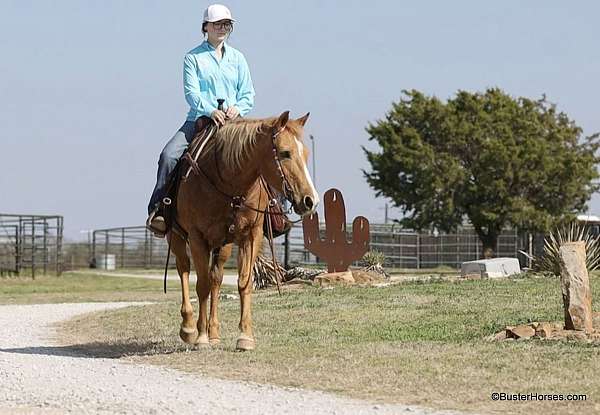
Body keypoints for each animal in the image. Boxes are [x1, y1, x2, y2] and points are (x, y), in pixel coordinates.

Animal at [169, 110, 318, 352]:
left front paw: (245, 337)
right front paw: (201, 338)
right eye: (285, 153)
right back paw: (189, 327)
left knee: (216, 278)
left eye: (305, 153)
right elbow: (201, 285)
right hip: (176, 236)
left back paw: (214, 332)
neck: (227, 184)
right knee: (184, 269)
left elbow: (244, 283)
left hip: (224, 244)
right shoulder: (197, 237)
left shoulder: (251, 235)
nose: (310, 200)